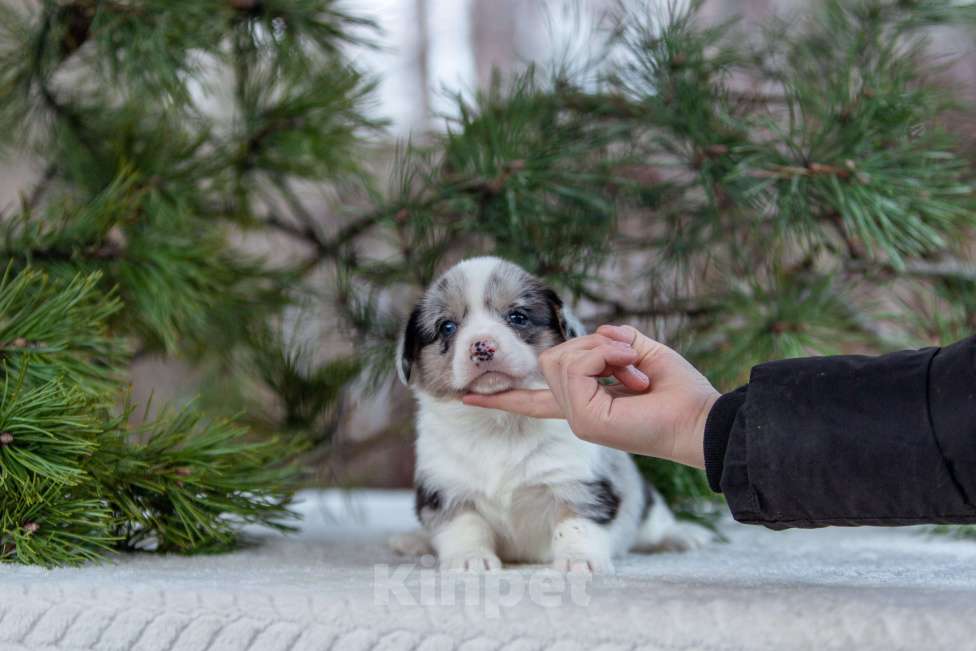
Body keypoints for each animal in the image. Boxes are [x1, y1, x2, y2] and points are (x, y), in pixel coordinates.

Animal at [388, 258, 708, 572]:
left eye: (517, 317)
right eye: (447, 327)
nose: (482, 347)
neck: (498, 424)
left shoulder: (577, 482)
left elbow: (575, 525)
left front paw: (579, 560)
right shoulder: (447, 489)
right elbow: (464, 527)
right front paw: (470, 559)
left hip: (645, 501)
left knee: (653, 522)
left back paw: (681, 536)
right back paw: (414, 541)